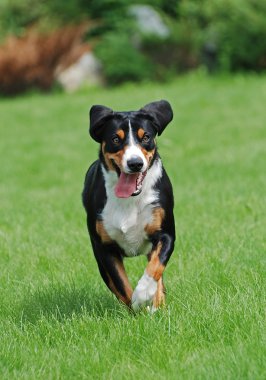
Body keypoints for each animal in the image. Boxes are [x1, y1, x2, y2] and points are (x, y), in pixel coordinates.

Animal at [82, 101, 176, 312]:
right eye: (116, 139)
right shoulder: (105, 248)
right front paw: (135, 306)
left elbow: (155, 268)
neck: (130, 200)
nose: (135, 163)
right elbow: (121, 284)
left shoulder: (165, 234)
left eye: (146, 137)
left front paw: (143, 294)